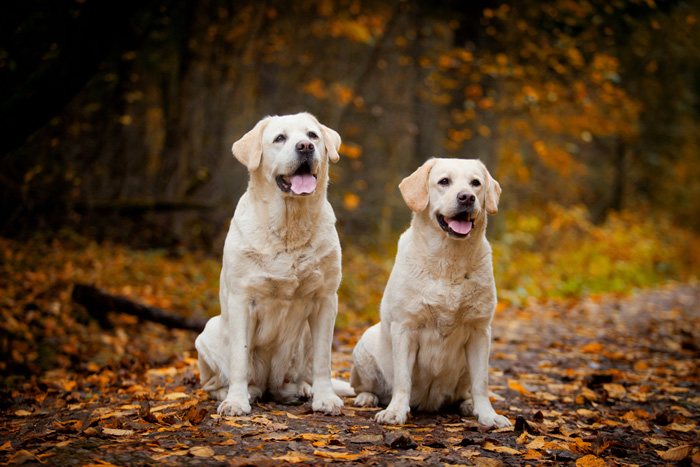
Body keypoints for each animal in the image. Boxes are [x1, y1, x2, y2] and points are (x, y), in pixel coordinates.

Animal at [194, 112, 350, 416]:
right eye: (280, 138)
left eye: (312, 135)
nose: (305, 147)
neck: (290, 225)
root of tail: (270, 384)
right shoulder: (242, 300)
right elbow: (240, 358)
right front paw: (236, 401)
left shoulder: (326, 299)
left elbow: (323, 359)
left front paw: (325, 399)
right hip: (207, 332)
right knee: (212, 383)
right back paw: (234, 393)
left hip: (302, 341)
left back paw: (303, 389)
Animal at [348, 157, 508, 428]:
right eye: (444, 181)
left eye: (475, 183)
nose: (467, 197)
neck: (449, 261)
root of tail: (429, 403)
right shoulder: (405, 327)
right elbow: (403, 379)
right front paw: (395, 412)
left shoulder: (480, 331)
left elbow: (482, 382)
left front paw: (488, 415)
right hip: (364, 350)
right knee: (365, 388)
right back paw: (367, 398)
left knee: (466, 391)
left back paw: (468, 405)